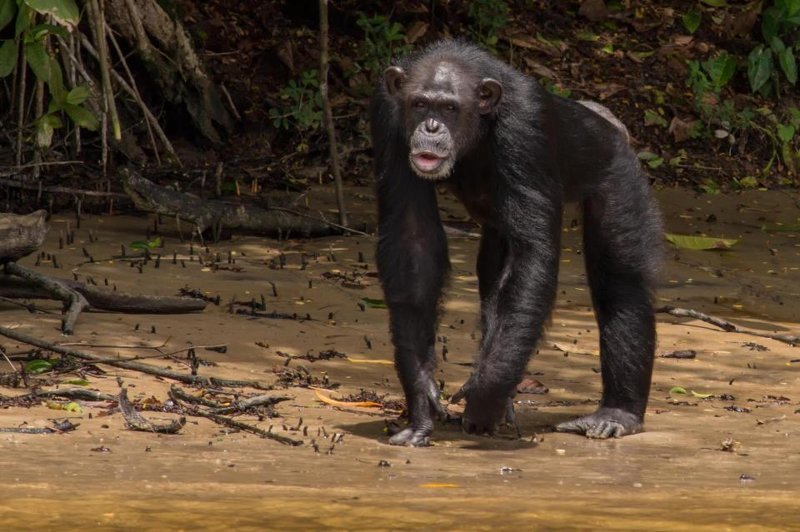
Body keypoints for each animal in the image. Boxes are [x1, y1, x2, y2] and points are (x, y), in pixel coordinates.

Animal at [372, 39, 664, 444]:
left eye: (449, 108)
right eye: (419, 104)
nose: (431, 126)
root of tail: (611, 122)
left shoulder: (526, 127)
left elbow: (532, 253)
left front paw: (485, 395)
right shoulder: (388, 121)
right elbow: (412, 240)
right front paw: (421, 395)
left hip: (619, 172)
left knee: (619, 281)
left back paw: (617, 412)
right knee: (494, 274)